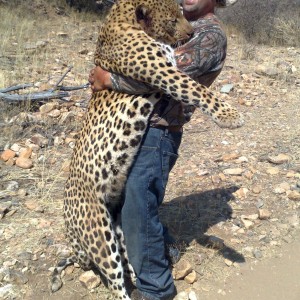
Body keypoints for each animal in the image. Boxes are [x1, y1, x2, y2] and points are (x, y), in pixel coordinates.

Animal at [51, 0, 244, 300]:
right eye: (173, 20)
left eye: (182, 14)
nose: (191, 35)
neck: (127, 21)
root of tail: (69, 229)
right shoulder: (161, 71)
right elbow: (195, 87)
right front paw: (229, 115)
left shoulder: (170, 63)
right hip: (98, 233)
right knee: (115, 281)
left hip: (117, 228)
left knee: (129, 260)